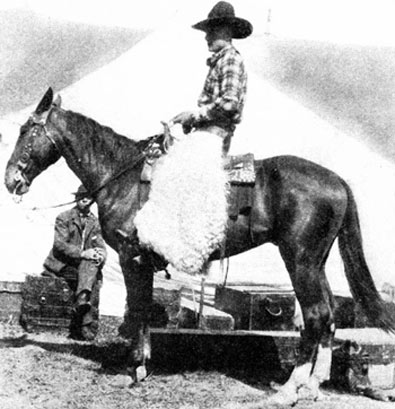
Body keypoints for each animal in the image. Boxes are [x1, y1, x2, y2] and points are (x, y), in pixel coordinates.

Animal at [5, 87, 395, 404]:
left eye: (26, 130)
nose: (11, 179)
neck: (124, 176)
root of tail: (337, 180)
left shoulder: (132, 257)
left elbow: (138, 309)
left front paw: (136, 370)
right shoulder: (143, 261)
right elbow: (143, 311)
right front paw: (142, 364)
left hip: (299, 260)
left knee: (315, 316)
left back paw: (289, 390)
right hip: (317, 261)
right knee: (329, 315)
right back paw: (313, 386)